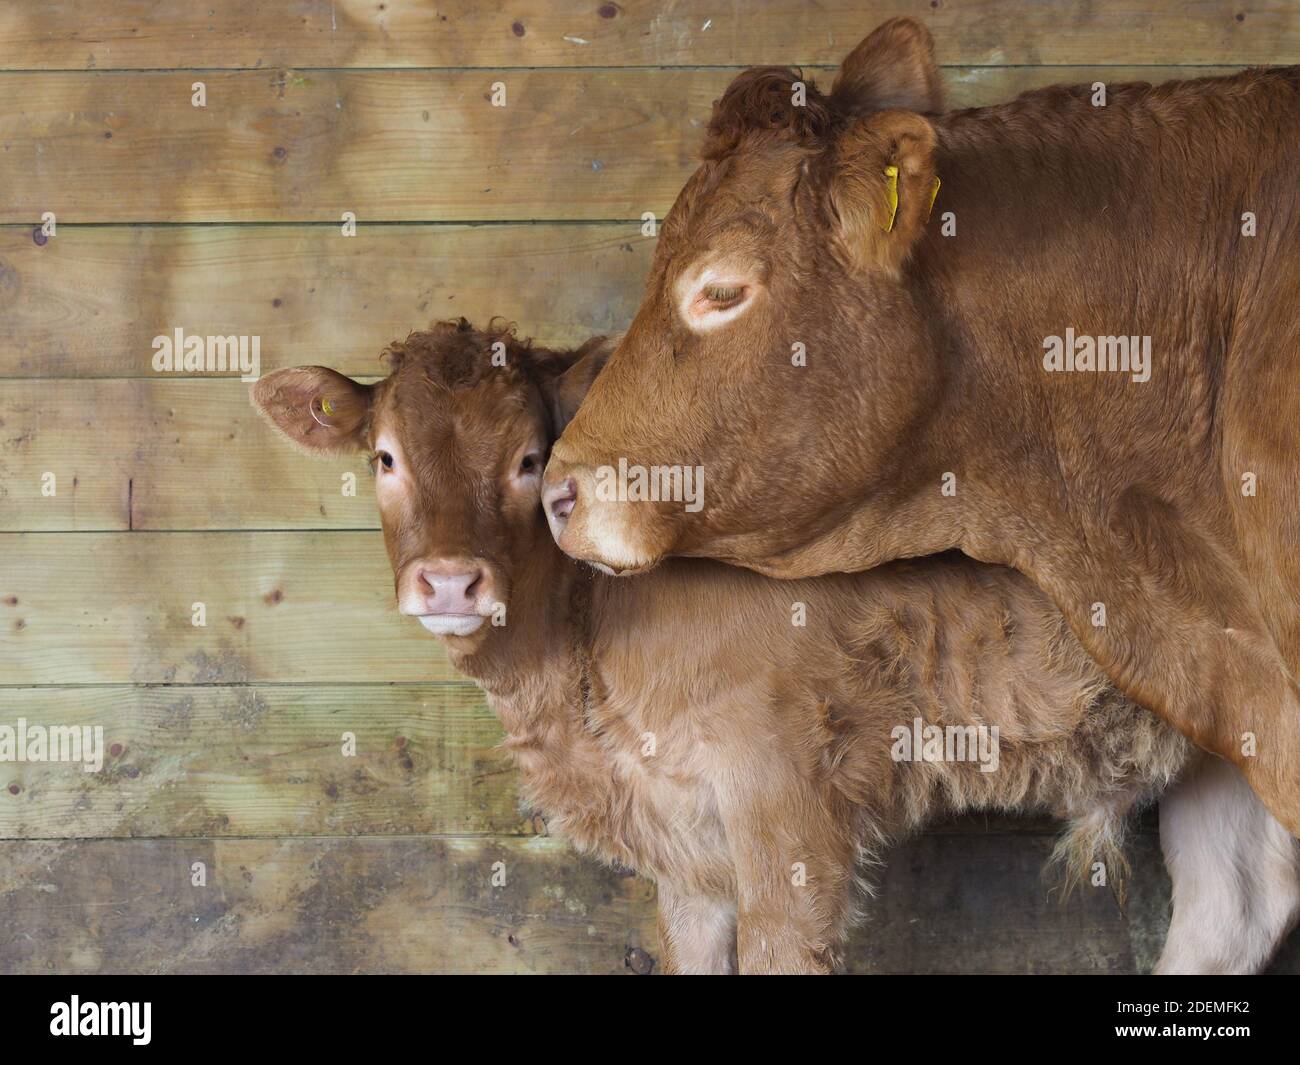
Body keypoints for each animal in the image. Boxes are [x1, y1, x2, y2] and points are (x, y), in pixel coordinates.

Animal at [252, 319, 1298, 974]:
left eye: (528, 460)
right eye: (385, 457)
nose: (451, 582)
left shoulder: (785, 792)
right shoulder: (684, 840)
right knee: (1232, 910)